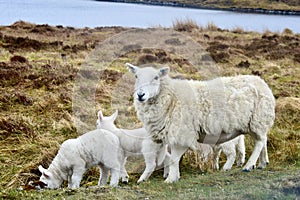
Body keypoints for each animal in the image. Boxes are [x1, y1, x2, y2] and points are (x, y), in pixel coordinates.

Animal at [125, 63, 276, 184]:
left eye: (156, 77)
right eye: (136, 76)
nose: (140, 95)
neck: (171, 97)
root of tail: (261, 82)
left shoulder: (182, 133)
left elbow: (174, 158)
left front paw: (171, 179)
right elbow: (175, 158)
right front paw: (175, 176)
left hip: (258, 119)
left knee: (259, 142)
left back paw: (249, 165)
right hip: (257, 122)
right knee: (263, 140)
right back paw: (263, 162)